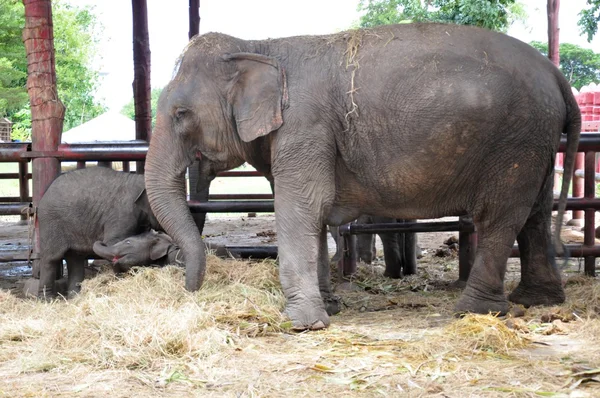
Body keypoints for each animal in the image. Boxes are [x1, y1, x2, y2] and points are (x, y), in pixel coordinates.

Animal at [143, 23, 580, 332]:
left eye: (181, 114)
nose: (188, 290)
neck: (259, 46)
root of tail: (557, 74)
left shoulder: (305, 124)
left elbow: (303, 206)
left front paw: (303, 324)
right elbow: (314, 213)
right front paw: (329, 308)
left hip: (515, 139)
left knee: (500, 216)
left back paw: (474, 311)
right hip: (537, 141)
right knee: (535, 213)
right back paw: (537, 301)